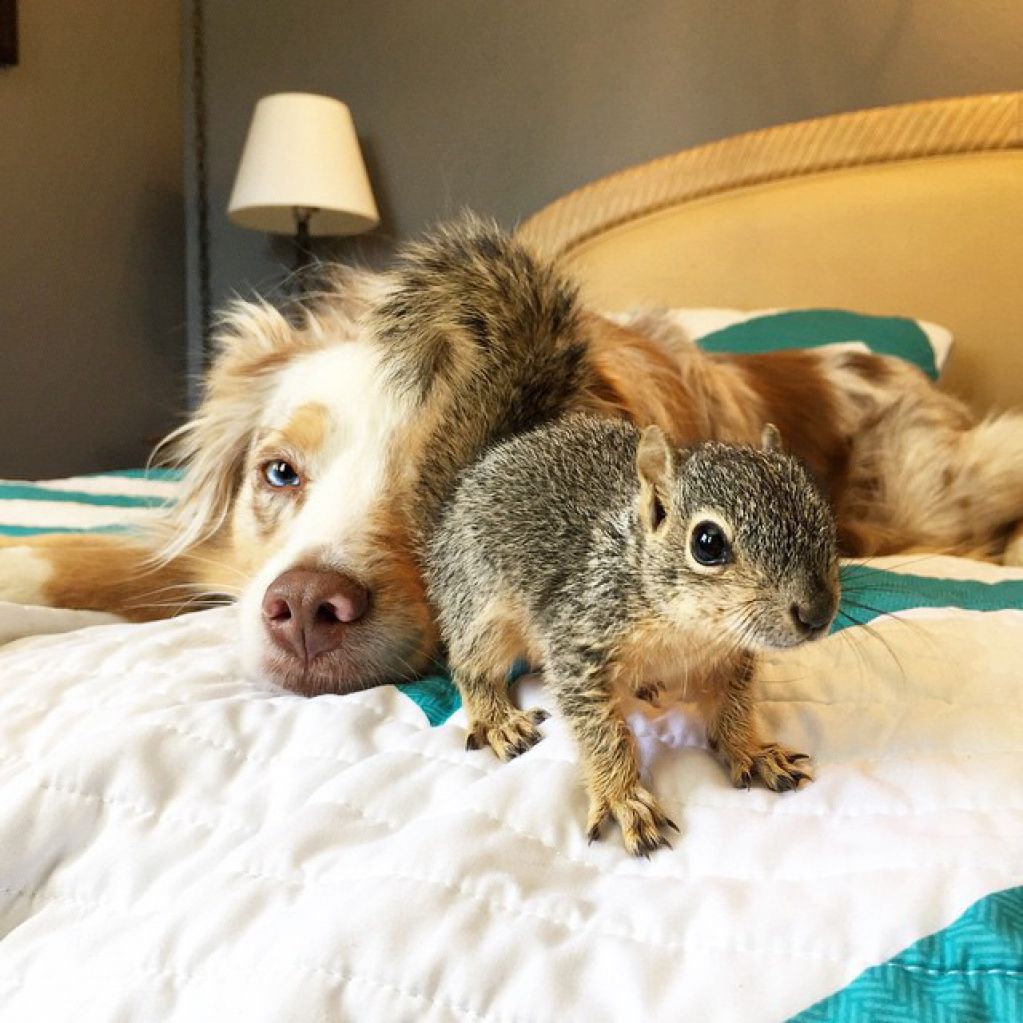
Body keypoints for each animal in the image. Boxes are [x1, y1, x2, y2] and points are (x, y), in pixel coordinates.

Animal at [425, 414, 840, 856]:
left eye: (821, 512)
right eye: (708, 543)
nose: (817, 613)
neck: (691, 631)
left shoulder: (731, 659)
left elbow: (734, 709)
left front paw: (753, 750)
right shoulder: (577, 642)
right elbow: (603, 733)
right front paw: (622, 798)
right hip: (481, 606)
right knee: (473, 667)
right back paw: (499, 720)